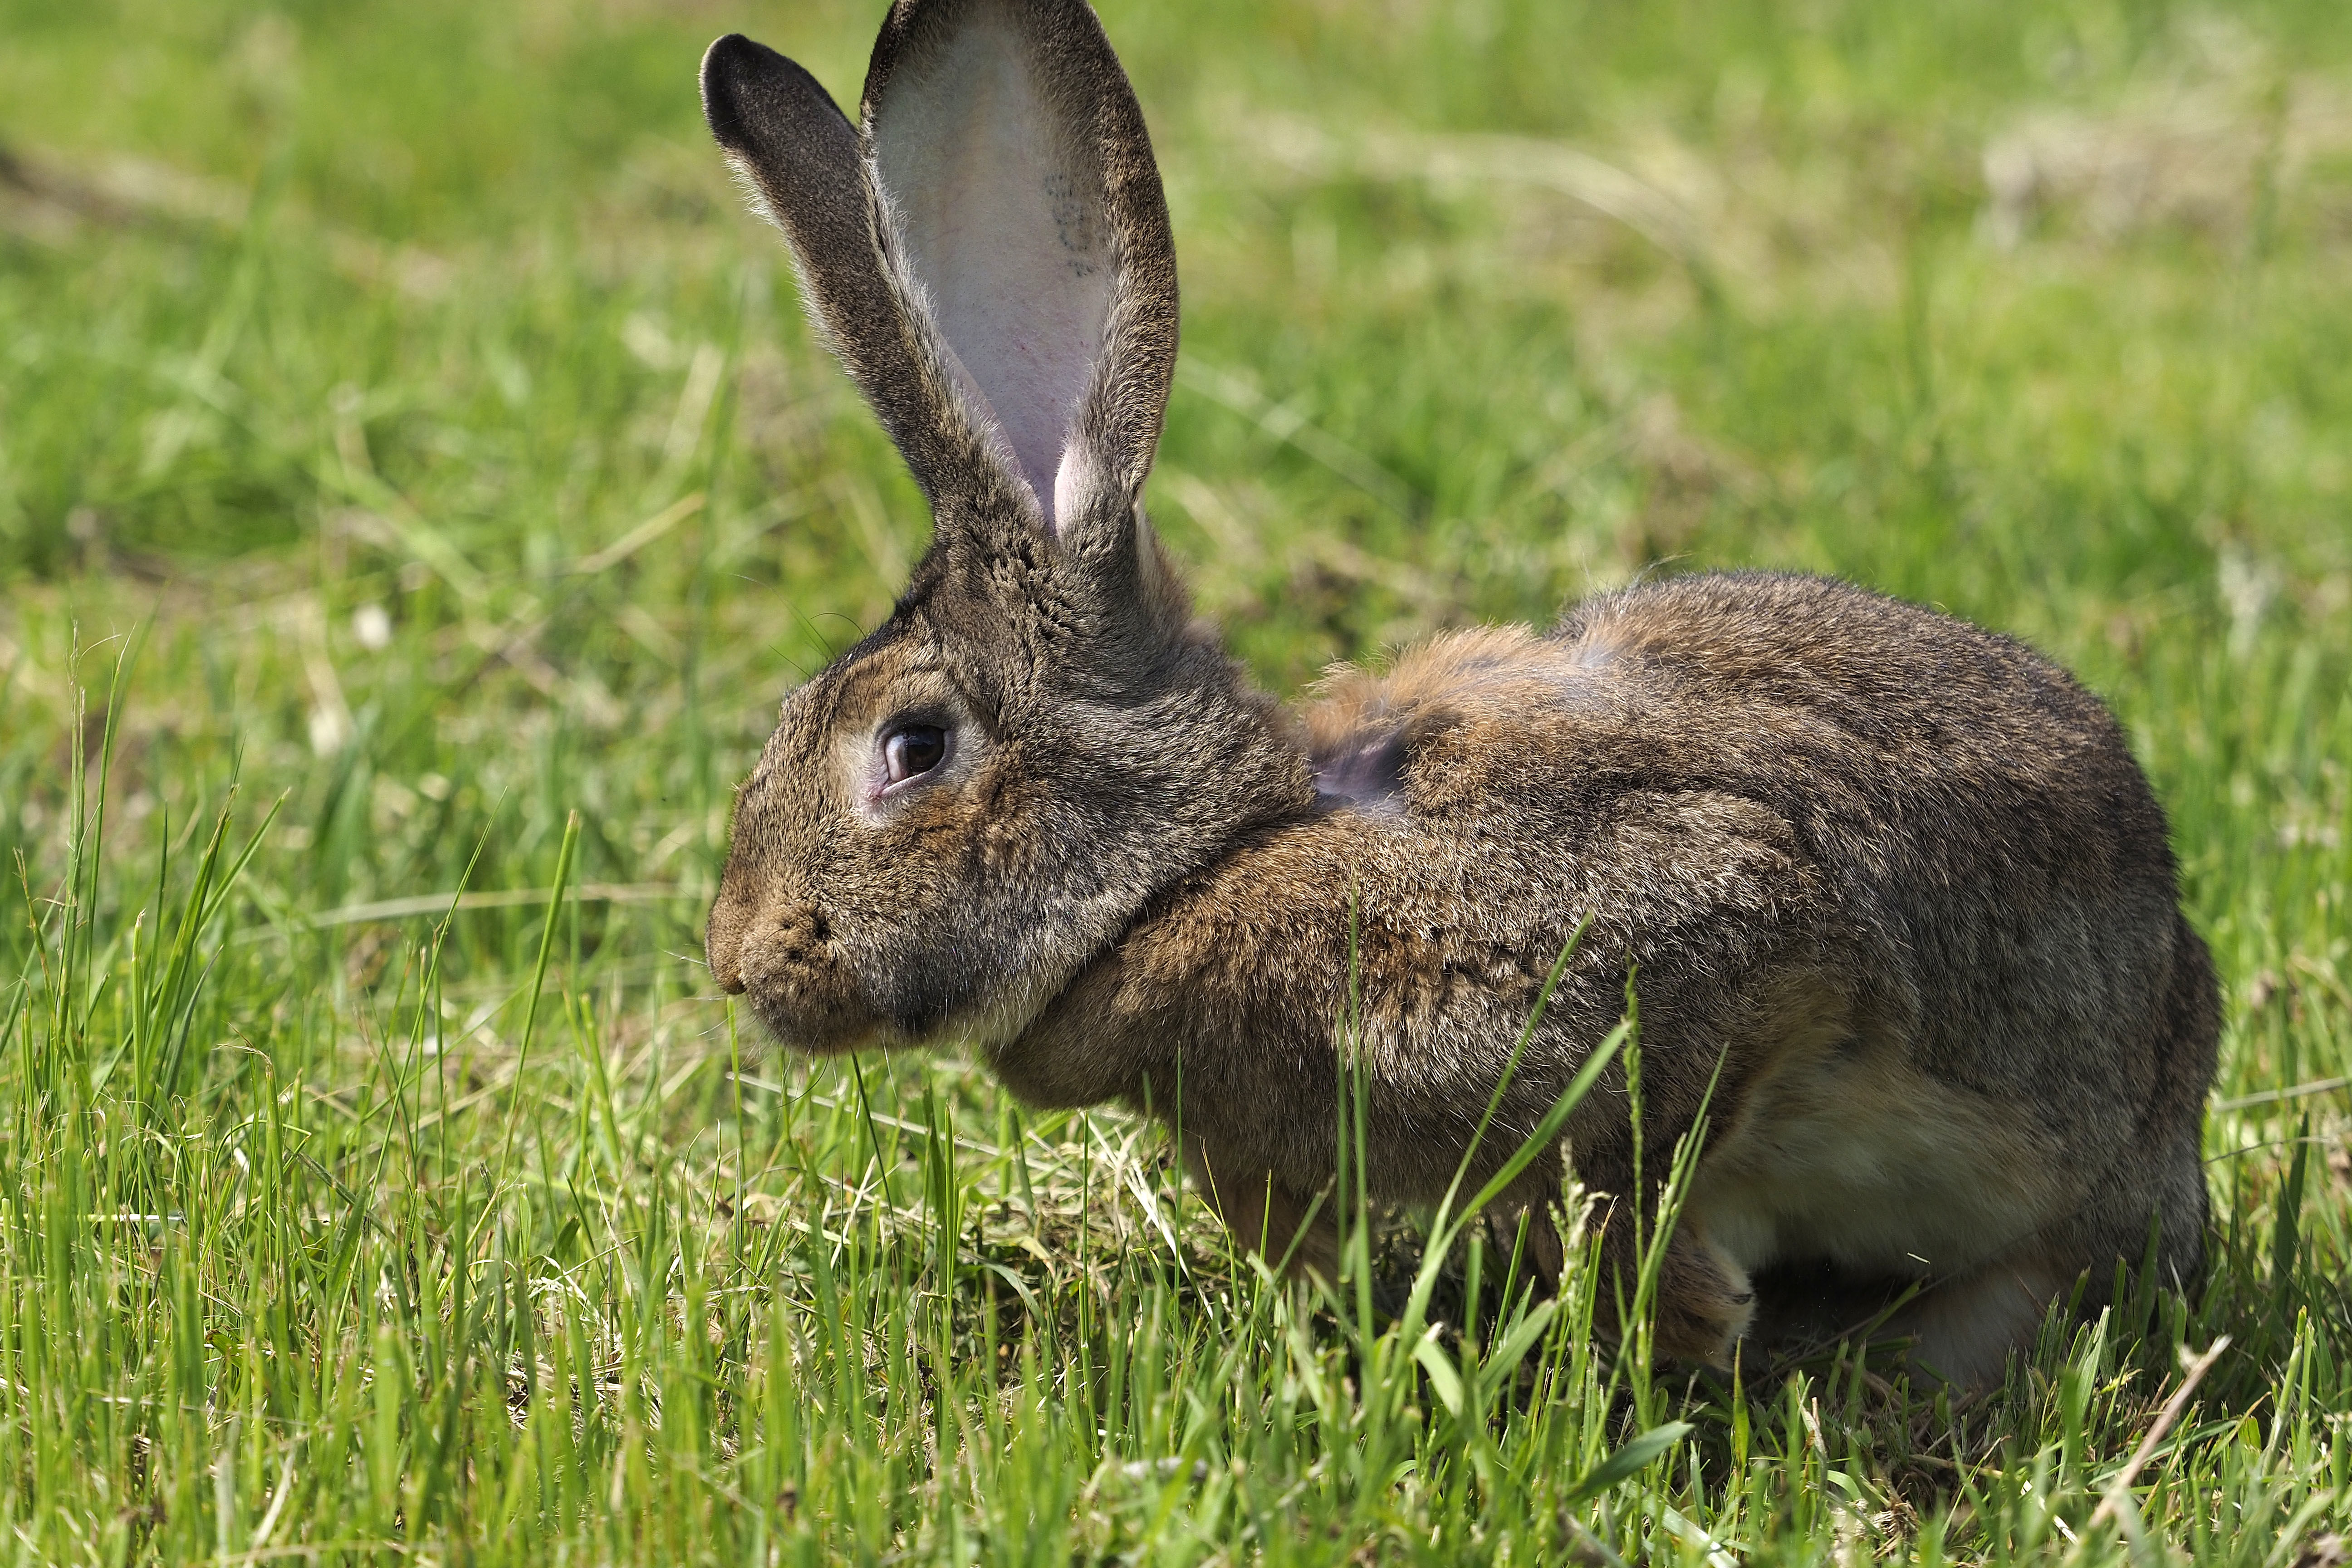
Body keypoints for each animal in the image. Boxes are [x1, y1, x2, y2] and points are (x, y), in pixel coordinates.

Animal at [686, 0, 2210, 1392]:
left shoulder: (1714, 939)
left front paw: (1687, 1328)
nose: (742, 964)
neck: (1201, 871)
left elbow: (1647, 1177)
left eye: (913, 747)